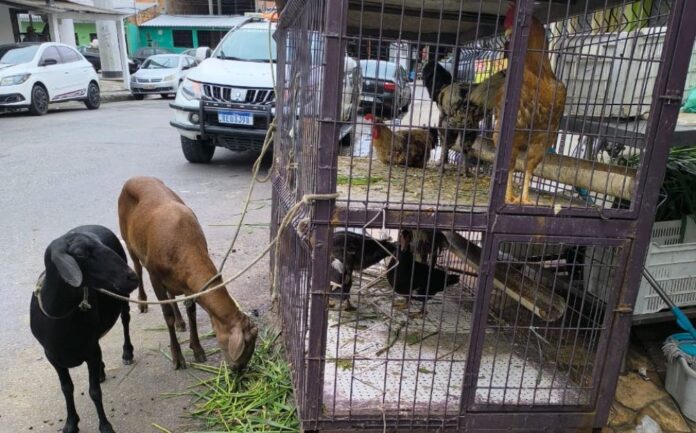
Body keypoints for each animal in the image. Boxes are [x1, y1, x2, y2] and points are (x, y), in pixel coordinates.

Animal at [30, 224, 139, 432]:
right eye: (80, 254)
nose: (132, 277)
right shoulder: (52, 356)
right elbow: (66, 389)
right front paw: (71, 423)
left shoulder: (90, 351)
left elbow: (94, 391)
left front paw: (105, 426)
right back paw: (102, 371)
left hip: (122, 298)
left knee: (126, 320)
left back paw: (127, 353)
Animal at [117, 175, 258, 368]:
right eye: (245, 346)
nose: (239, 369)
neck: (183, 241)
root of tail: (133, 178)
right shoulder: (155, 276)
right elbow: (167, 315)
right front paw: (177, 358)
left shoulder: (187, 285)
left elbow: (192, 312)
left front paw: (198, 350)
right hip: (129, 241)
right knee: (137, 268)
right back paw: (143, 303)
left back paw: (180, 322)